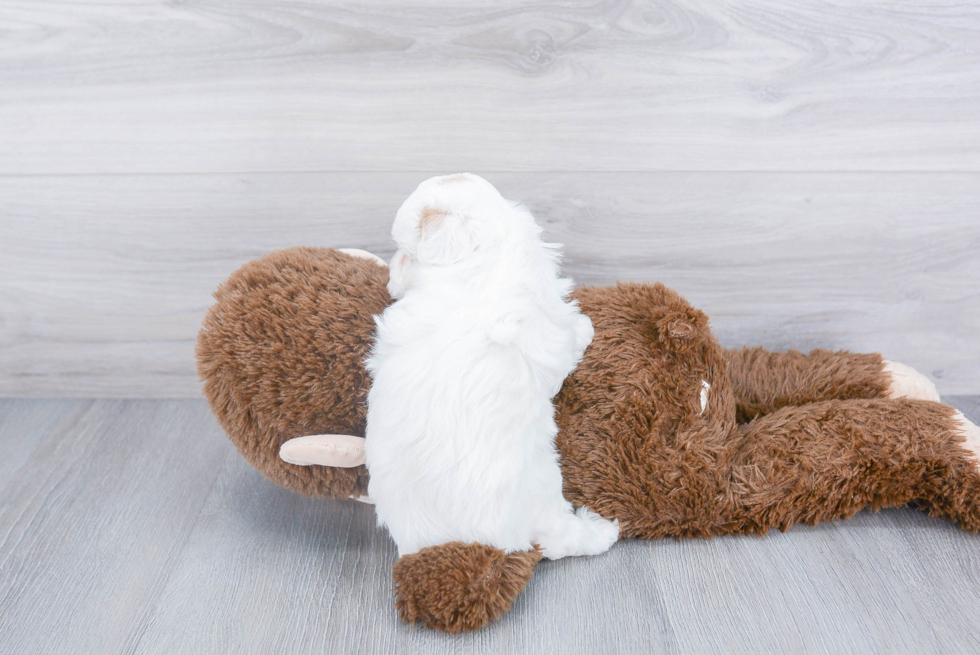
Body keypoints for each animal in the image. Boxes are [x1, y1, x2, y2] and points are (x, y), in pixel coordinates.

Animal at [364, 173, 616, 560]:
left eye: (406, 253)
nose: (391, 278)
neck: (483, 259)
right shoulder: (550, 331)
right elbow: (569, 341)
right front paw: (585, 328)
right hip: (544, 484)